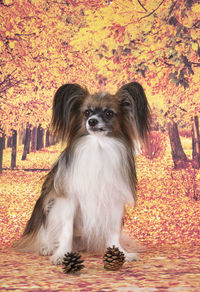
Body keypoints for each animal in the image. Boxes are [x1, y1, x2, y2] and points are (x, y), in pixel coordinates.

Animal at [14, 81, 150, 264]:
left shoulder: (114, 199)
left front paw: (121, 253)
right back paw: (47, 247)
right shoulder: (69, 198)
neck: (99, 146)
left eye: (108, 113)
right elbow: (66, 230)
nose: (92, 121)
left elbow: (113, 231)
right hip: (49, 209)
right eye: (87, 112)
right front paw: (62, 254)